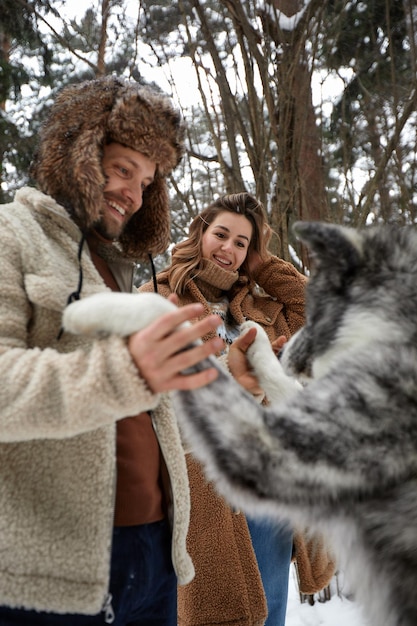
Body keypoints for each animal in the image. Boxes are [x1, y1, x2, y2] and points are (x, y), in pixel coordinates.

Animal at [62, 222, 417, 624]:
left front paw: (91, 309)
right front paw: (250, 334)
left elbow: (162, 314)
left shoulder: (267, 448)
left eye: (316, 310)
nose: (286, 348)